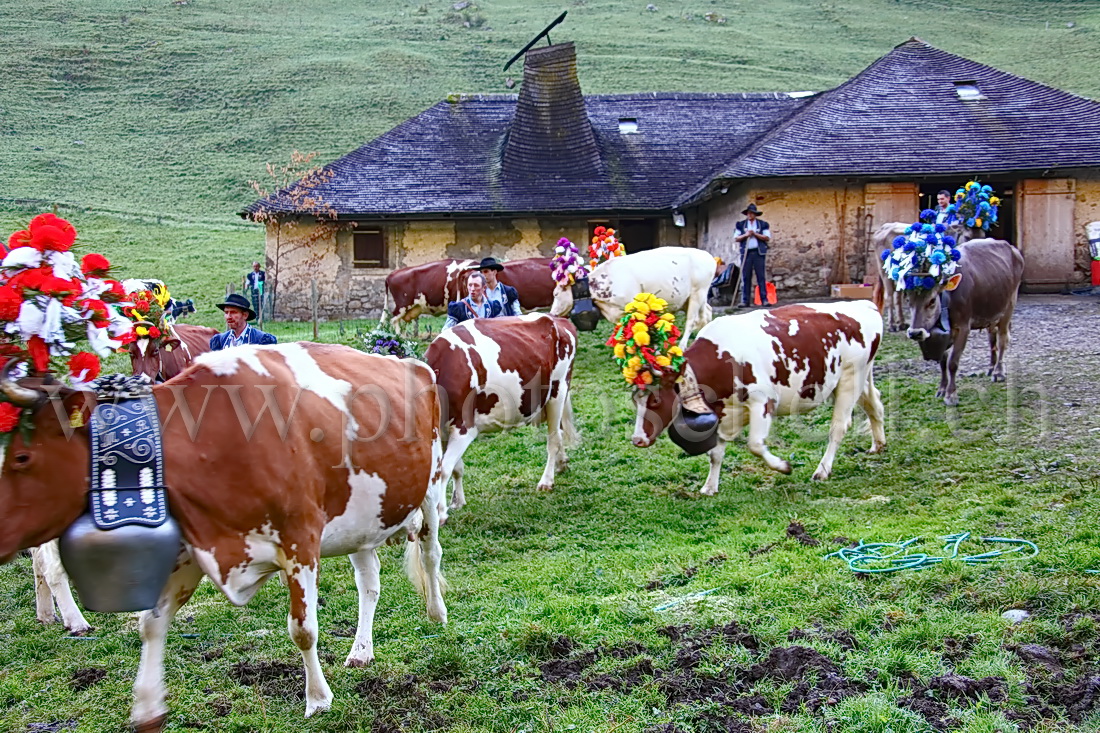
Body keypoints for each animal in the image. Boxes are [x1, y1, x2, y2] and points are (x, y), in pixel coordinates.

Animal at [0, 338, 451, 726]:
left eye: (22, 456)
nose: (2, 536)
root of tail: (411, 362)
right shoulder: (191, 547)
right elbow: (151, 623)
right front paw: (147, 705)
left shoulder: (300, 540)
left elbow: (303, 629)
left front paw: (318, 699)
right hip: (362, 516)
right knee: (369, 583)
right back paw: (361, 650)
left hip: (429, 488)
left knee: (431, 555)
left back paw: (436, 611)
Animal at [554, 246, 717, 347]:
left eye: (556, 294)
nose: (552, 313)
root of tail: (708, 256)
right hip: (690, 298)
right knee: (707, 312)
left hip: (698, 292)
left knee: (691, 320)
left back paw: (683, 345)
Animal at [629, 299, 884, 493]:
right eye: (635, 401)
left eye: (656, 401)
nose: (637, 439)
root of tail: (864, 305)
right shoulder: (724, 410)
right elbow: (715, 453)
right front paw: (710, 486)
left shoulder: (763, 401)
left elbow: (755, 445)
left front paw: (783, 466)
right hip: (856, 379)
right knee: (875, 404)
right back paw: (878, 444)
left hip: (850, 379)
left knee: (838, 428)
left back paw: (822, 470)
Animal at [902, 236, 1020, 402]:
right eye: (908, 299)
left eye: (932, 301)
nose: (915, 333)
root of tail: (1011, 247)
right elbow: (943, 362)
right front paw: (942, 389)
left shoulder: (964, 327)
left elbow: (952, 362)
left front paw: (951, 395)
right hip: (991, 313)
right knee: (992, 339)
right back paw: (991, 368)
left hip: (1008, 307)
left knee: (1002, 340)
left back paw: (998, 372)